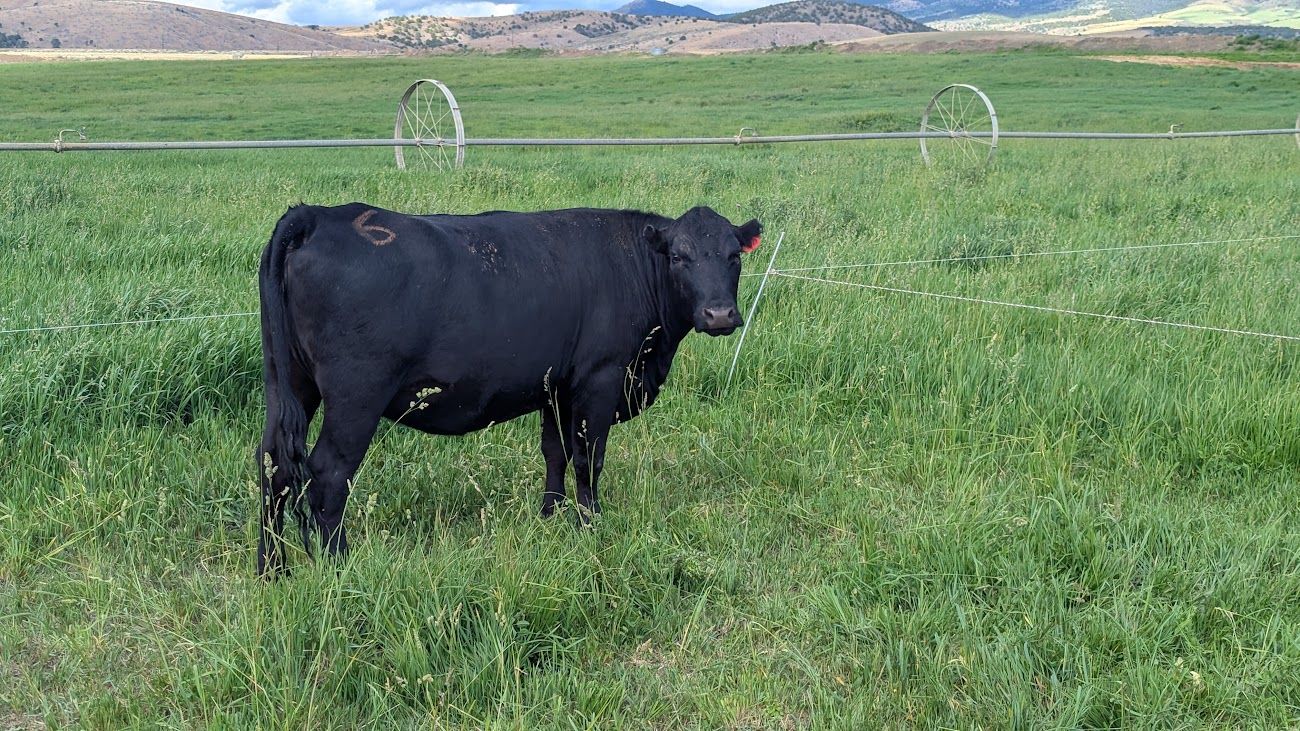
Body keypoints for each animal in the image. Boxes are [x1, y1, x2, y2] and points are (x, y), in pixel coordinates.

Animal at [257, 203, 762, 576]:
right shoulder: (599, 381)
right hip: (356, 397)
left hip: (289, 385)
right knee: (328, 473)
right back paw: (338, 566)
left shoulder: (557, 388)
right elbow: (588, 459)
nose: (719, 314)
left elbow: (555, 453)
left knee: (272, 466)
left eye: (734, 256)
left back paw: (272, 569)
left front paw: (550, 517)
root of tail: (318, 215)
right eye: (679, 256)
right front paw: (590, 524)